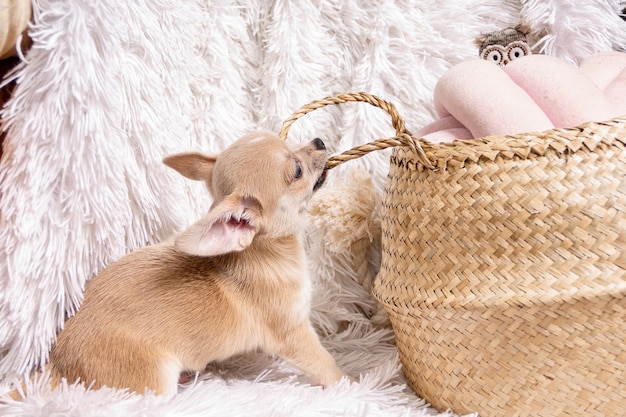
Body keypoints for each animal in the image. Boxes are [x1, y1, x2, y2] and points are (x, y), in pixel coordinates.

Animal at [43, 132, 346, 394]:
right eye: (297, 170)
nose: (319, 141)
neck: (266, 250)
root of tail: (57, 365)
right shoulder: (293, 333)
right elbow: (325, 364)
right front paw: (349, 384)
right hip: (154, 378)